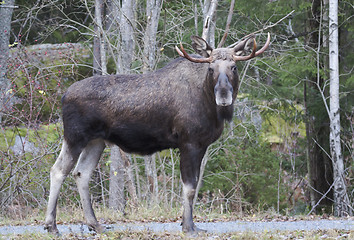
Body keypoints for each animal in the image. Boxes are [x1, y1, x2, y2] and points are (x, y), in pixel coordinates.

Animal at [45, 32, 272, 233]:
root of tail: (64, 96)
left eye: (234, 67)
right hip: (75, 137)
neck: (211, 105)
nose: (223, 97)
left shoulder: (201, 145)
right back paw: (52, 225)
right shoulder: (189, 142)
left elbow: (194, 186)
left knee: (81, 174)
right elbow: (190, 187)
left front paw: (190, 224)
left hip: (96, 141)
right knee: (58, 171)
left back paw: (96, 224)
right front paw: (188, 227)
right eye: (210, 68)